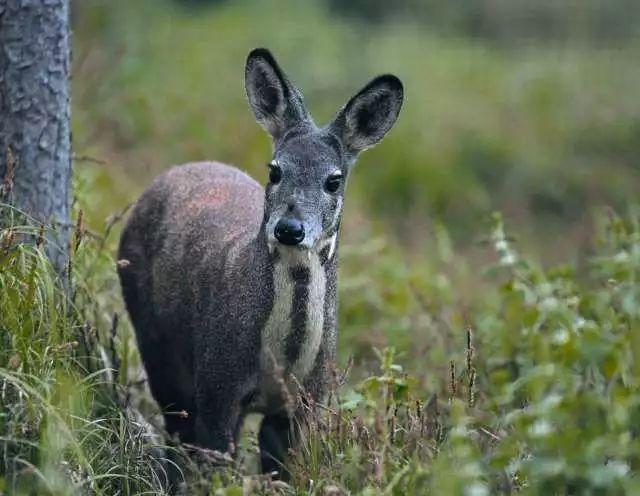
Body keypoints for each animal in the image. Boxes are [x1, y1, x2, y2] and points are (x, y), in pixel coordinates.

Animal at [117, 47, 402, 476]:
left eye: (333, 180)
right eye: (275, 170)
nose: (289, 228)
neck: (281, 362)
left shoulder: (305, 403)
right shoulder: (218, 385)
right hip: (155, 342)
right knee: (176, 430)